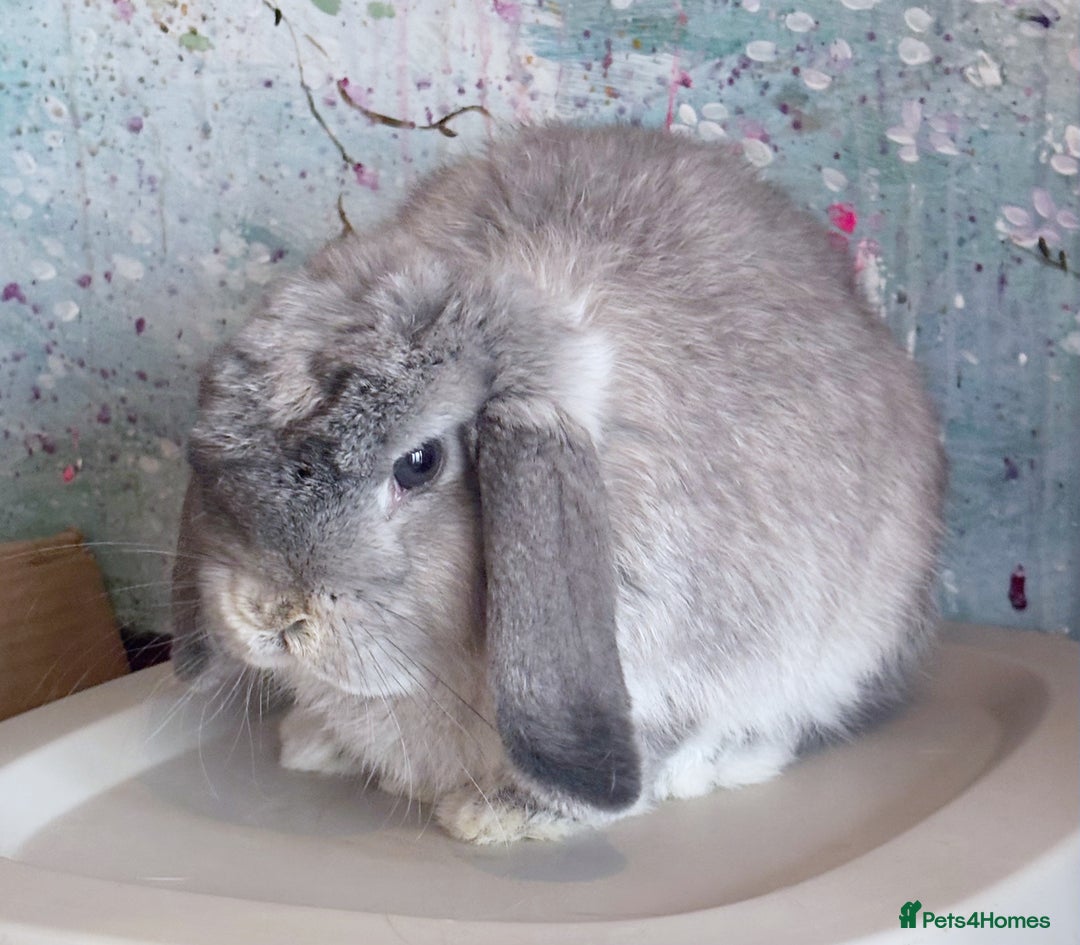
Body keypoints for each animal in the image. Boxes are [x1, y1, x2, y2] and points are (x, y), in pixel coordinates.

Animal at [170, 123, 946, 844]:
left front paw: (498, 815)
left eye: (419, 463)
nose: (271, 612)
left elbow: (656, 743)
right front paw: (313, 744)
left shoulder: (681, 661)